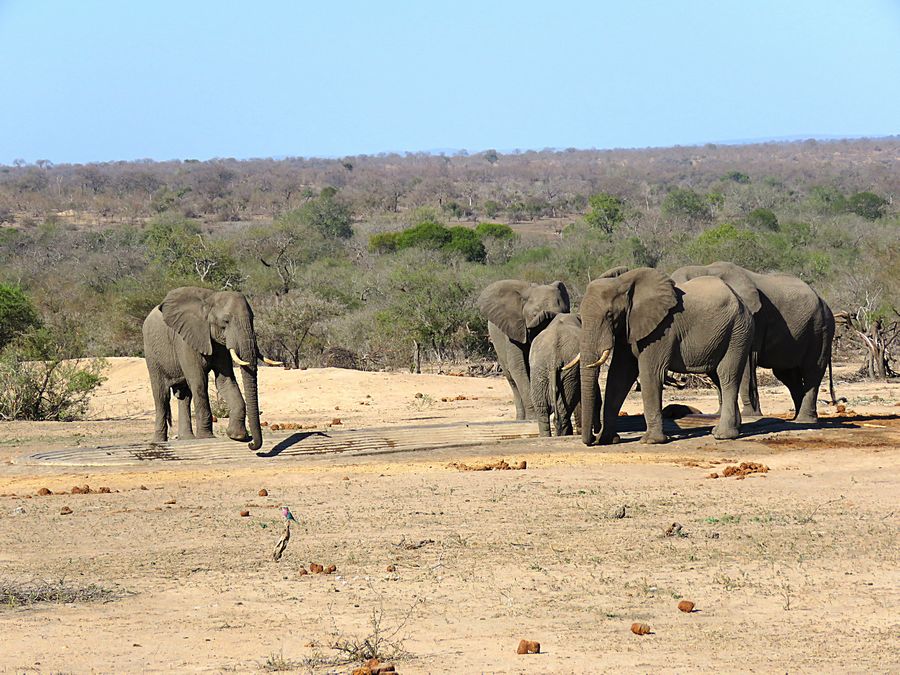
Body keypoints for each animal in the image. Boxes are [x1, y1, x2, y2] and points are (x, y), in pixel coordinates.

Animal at [142, 287, 280, 450]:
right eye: (226, 321)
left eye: (253, 319)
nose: (251, 444)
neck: (210, 299)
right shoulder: (185, 340)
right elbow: (199, 382)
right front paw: (206, 437)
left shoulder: (220, 345)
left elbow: (225, 381)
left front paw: (237, 436)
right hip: (151, 353)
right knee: (161, 395)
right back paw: (159, 441)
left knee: (184, 396)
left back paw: (187, 439)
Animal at [477, 279, 570, 420]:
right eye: (534, 314)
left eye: (564, 312)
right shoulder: (513, 330)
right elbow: (518, 367)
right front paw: (533, 418)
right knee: (511, 379)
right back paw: (521, 418)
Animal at [575, 267, 754, 445]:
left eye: (610, 315)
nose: (592, 439)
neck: (623, 282)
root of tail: (739, 298)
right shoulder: (629, 328)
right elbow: (619, 376)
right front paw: (608, 439)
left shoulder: (662, 330)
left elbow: (650, 373)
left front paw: (651, 441)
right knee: (717, 376)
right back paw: (732, 428)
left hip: (738, 331)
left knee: (727, 376)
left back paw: (723, 435)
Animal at [670, 262, 835, 423]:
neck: (703, 269)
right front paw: (719, 414)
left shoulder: (751, 319)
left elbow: (745, 365)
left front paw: (749, 415)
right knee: (787, 374)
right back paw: (796, 419)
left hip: (821, 329)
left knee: (811, 370)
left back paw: (804, 420)